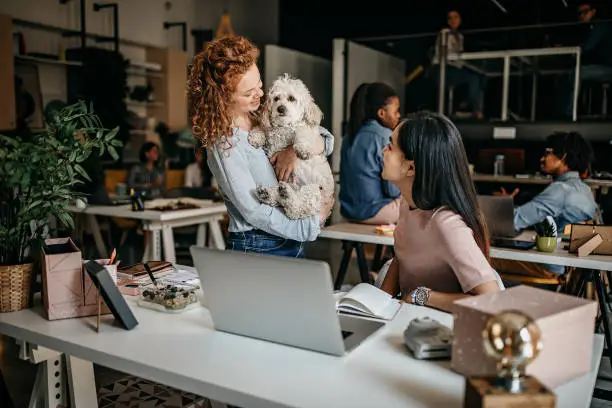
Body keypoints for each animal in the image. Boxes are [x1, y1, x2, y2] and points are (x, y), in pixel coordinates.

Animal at [247, 73, 334, 220]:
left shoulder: (308, 131)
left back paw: (285, 195)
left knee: (296, 210)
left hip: (314, 190)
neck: (284, 127)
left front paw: (302, 149)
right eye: (276, 98)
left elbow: (302, 132)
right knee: (283, 202)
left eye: (291, 98)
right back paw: (269, 194)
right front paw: (256, 136)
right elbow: (262, 127)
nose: (280, 108)